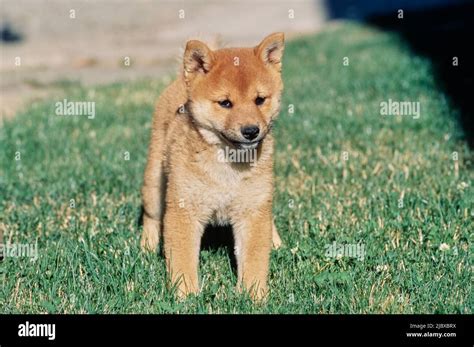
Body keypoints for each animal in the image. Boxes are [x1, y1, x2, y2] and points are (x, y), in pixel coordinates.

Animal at [139, 33, 284, 302]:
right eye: (225, 103)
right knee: (151, 216)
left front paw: (254, 295)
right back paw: (148, 246)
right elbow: (183, 260)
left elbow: (255, 258)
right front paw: (186, 295)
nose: (251, 131)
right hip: (154, 184)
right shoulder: (183, 209)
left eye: (260, 100)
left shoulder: (252, 209)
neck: (227, 165)